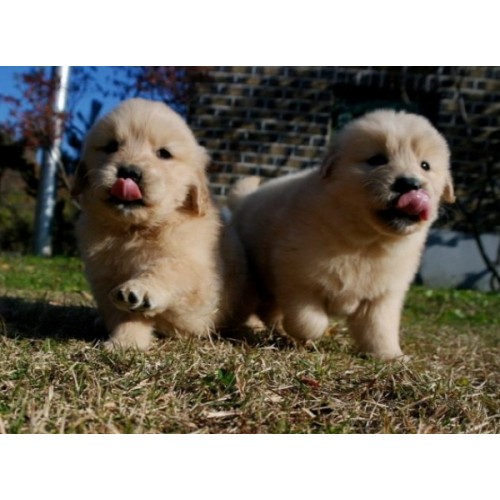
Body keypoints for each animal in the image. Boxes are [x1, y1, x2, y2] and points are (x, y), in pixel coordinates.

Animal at [72, 98, 249, 350]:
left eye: (164, 153)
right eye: (111, 146)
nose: (129, 172)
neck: (136, 231)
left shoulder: (202, 287)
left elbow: (172, 268)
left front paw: (142, 289)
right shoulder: (104, 278)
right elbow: (126, 315)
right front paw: (125, 341)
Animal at [229, 109, 455, 360]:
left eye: (425, 165)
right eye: (377, 159)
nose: (410, 184)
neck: (367, 241)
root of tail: (244, 199)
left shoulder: (383, 296)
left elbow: (380, 329)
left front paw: (391, 356)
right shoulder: (298, 279)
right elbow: (309, 320)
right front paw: (307, 334)